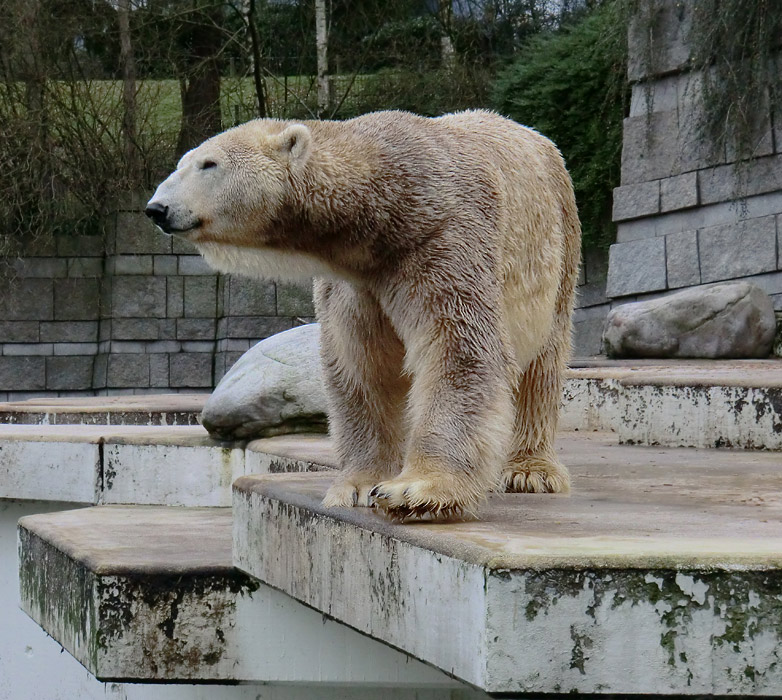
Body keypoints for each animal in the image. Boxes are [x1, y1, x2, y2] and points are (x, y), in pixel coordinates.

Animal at [149, 109, 580, 520]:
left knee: (544, 361)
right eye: (184, 162)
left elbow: (457, 347)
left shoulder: (443, 237)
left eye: (208, 164)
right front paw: (358, 486)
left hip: (558, 245)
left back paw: (529, 469)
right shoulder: (354, 281)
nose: (157, 208)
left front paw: (417, 489)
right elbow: (361, 365)